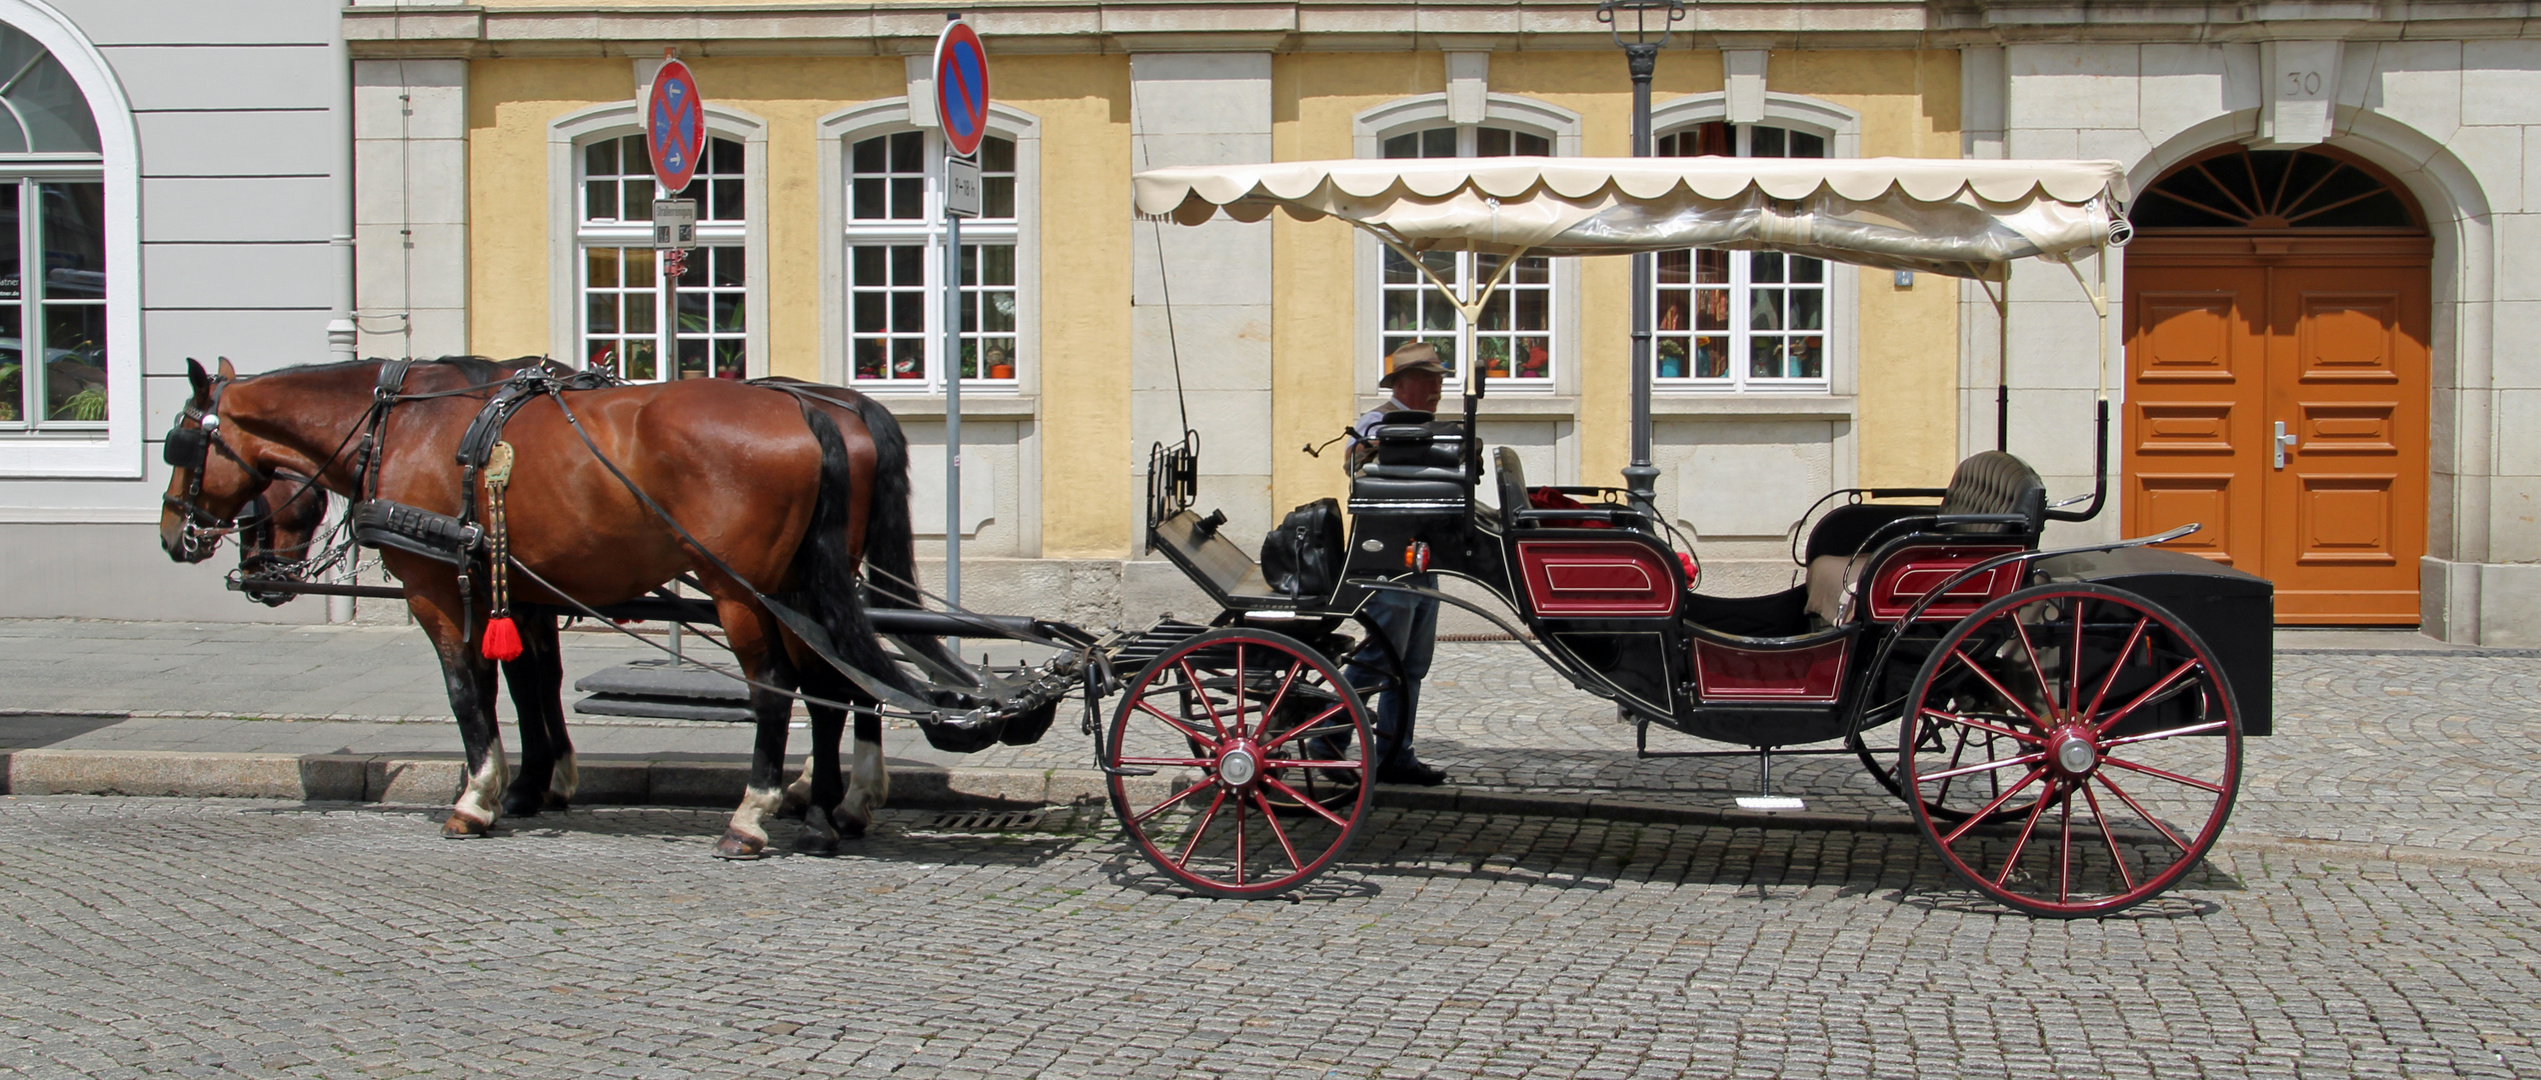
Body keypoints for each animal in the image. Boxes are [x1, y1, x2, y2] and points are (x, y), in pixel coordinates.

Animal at [158, 358, 919, 853]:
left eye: (181, 446)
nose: (174, 536)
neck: (409, 426)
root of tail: (811, 410)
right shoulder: (524, 590)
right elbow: (532, 684)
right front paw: (538, 782)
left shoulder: (437, 587)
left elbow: (471, 687)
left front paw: (480, 796)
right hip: (797, 586)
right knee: (834, 684)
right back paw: (824, 811)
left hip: (741, 589)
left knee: (777, 689)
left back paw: (757, 814)